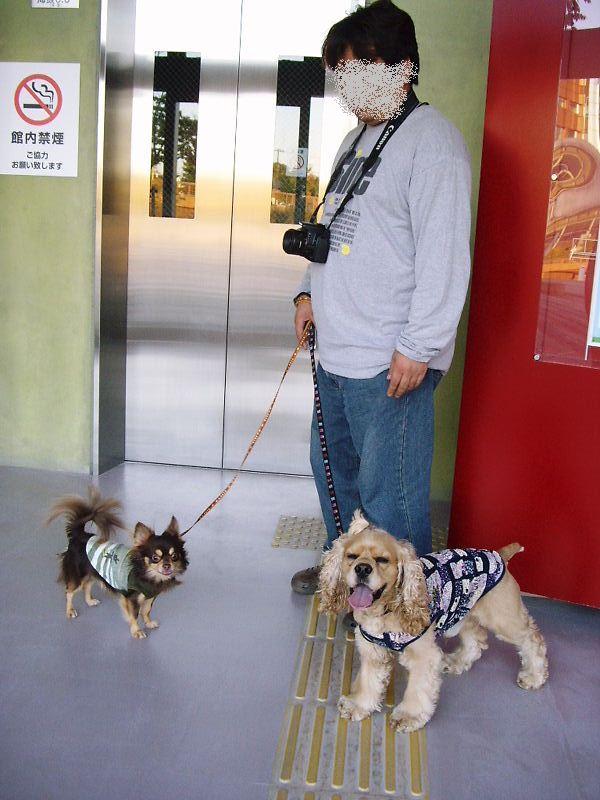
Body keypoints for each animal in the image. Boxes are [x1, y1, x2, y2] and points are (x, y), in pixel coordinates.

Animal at [47, 486, 189, 639]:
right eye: (155, 558)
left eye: (174, 556)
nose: (167, 565)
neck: (148, 575)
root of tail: (79, 535)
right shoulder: (131, 599)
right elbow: (134, 615)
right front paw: (137, 631)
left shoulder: (150, 596)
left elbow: (146, 611)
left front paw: (149, 623)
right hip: (78, 576)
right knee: (69, 592)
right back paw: (70, 611)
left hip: (91, 573)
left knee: (87, 586)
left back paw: (90, 601)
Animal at [318, 510, 548, 732]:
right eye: (352, 556)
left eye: (383, 560)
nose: (362, 568)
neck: (384, 611)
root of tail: (499, 554)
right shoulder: (372, 650)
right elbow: (367, 681)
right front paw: (358, 705)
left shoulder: (423, 655)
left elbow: (417, 690)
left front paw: (409, 717)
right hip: (463, 612)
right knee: (476, 640)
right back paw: (457, 662)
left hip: (503, 618)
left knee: (532, 639)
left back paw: (534, 676)